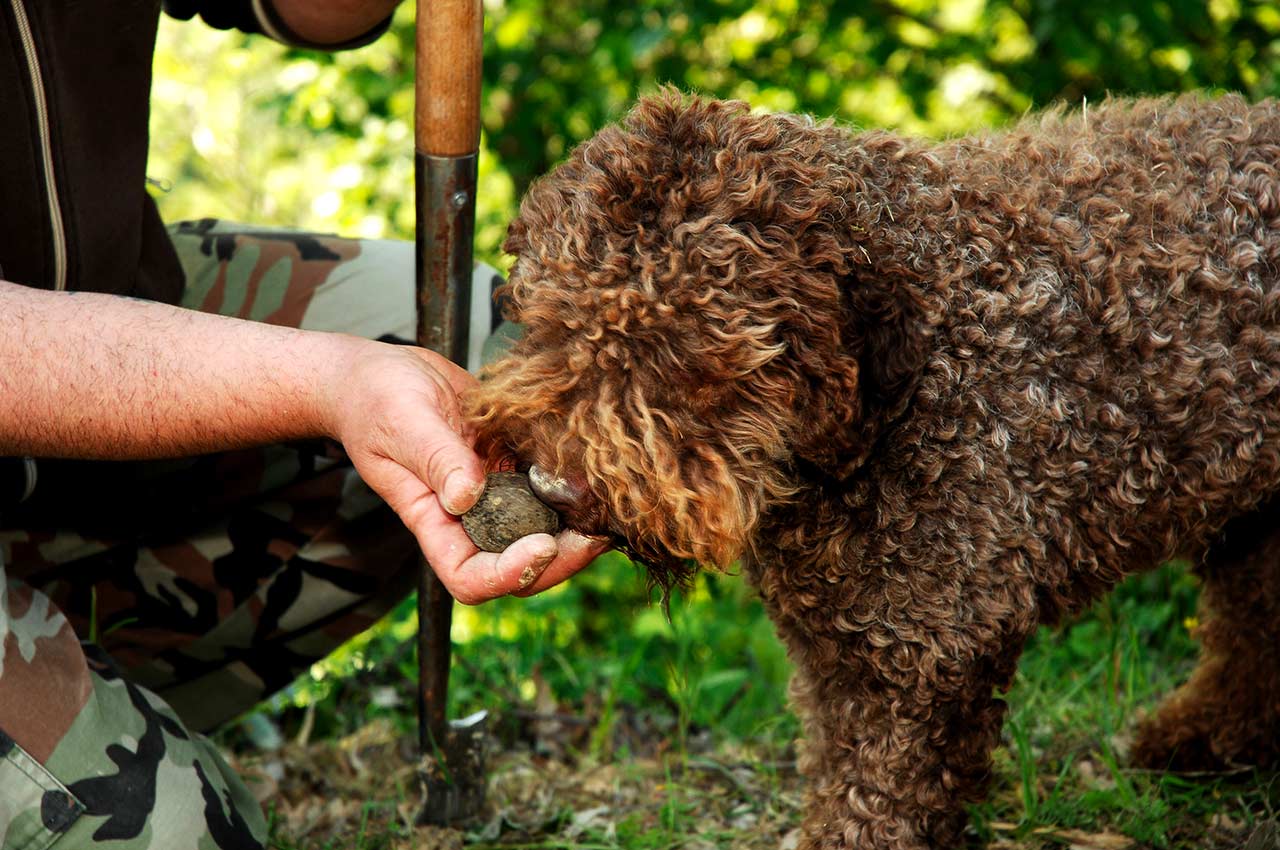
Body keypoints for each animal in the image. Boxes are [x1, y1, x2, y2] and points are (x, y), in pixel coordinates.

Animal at [465, 89, 1280, 844]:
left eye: (684, 353)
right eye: (552, 319)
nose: (553, 485)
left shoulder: (922, 650)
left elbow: (877, 797)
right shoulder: (838, 647)